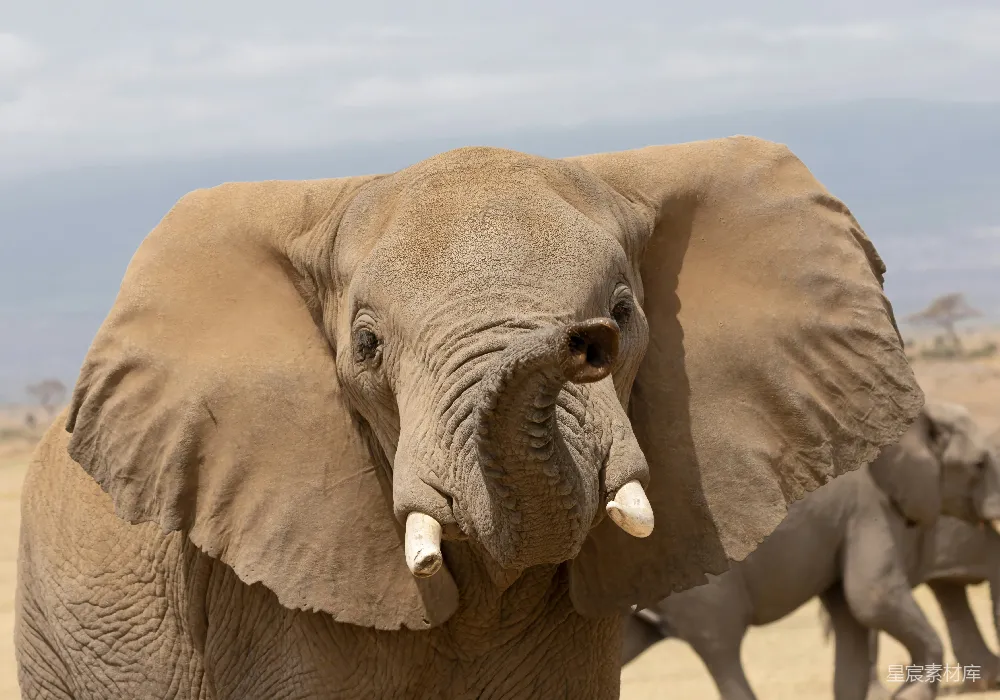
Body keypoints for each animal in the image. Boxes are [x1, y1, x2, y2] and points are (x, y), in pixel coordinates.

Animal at [621, 402, 1000, 700]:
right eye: (979, 464)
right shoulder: (869, 510)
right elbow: (873, 599)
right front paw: (910, 696)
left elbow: (850, 615)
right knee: (721, 647)